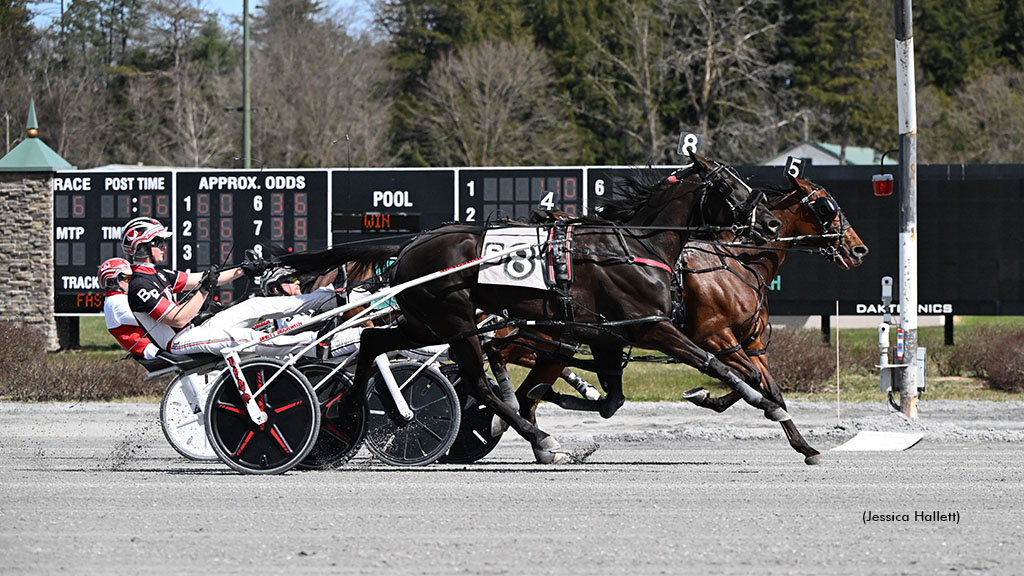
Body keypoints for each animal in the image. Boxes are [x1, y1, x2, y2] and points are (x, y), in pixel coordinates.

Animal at [284, 152, 786, 461]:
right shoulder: (650, 326)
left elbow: (609, 396)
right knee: (476, 383)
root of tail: (410, 243)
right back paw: (542, 440)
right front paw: (766, 402)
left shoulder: (608, 333)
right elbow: (711, 362)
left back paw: (353, 408)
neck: (633, 248)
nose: (771, 222)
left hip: (426, 321)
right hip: (455, 321)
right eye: (730, 184)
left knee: (373, 340)